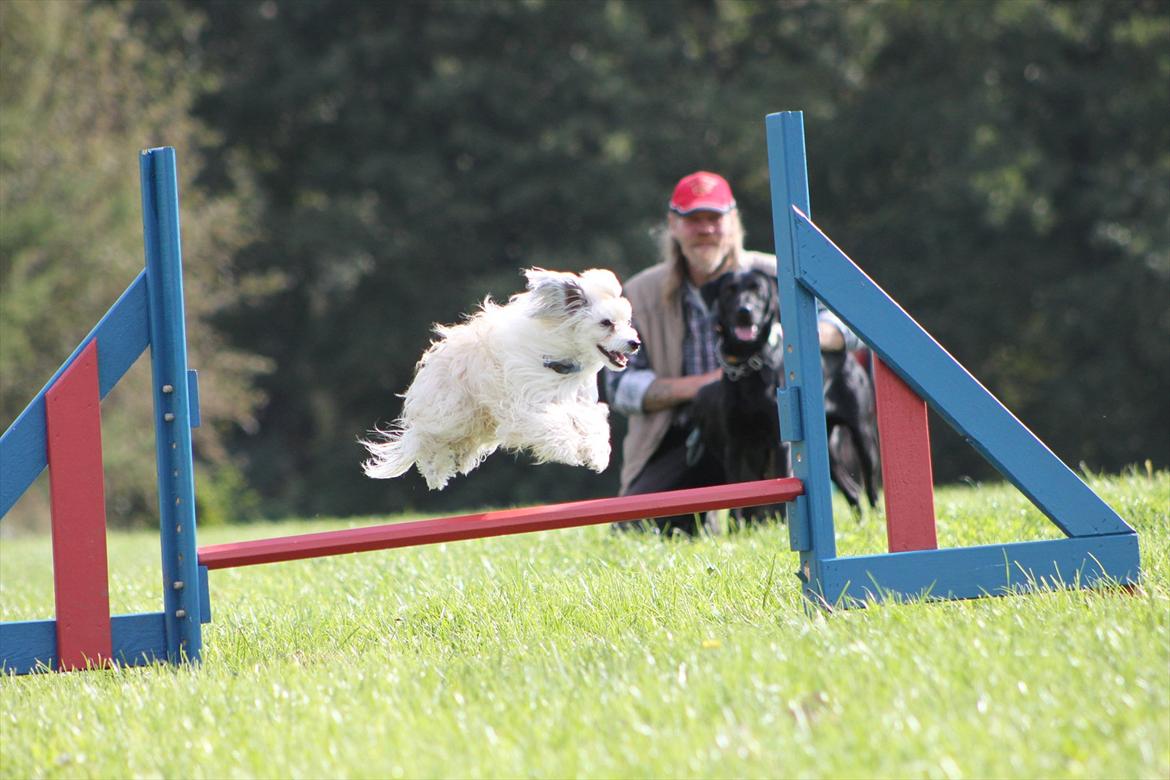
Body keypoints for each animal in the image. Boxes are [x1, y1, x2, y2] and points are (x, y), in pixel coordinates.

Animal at [362, 268, 641, 488]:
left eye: (627, 321)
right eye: (606, 323)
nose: (635, 343)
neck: (563, 358)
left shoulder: (578, 403)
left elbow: (593, 423)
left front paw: (596, 454)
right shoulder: (527, 404)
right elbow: (552, 425)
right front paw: (570, 448)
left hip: (477, 419)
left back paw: (459, 459)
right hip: (451, 412)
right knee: (427, 439)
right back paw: (435, 470)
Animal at [692, 270, 879, 523]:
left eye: (758, 290)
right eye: (729, 290)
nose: (744, 311)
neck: (748, 365)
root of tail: (847, 358)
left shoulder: (779, 442)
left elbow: (782, 485)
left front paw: (782, 523)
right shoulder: (734, 442)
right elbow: (734, 491)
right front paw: (736, 527)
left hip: (863, 432)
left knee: (870, 484)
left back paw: (878, 518)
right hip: (825, 449)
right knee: (852, 489)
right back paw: (861, 523)